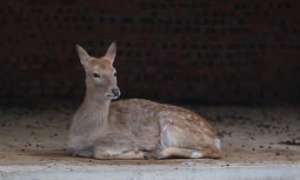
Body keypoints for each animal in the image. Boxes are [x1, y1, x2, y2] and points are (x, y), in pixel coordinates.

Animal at [68, 41, 223, 159]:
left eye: (114, 72)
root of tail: (216, 138)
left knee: (213, 151)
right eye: (96, 74)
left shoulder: (125, 138)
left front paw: (139, 153)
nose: (115, 90)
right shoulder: (72, 147)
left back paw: (159, 152)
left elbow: (100, 152)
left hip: (172, 127)